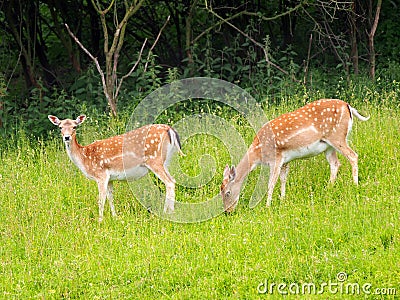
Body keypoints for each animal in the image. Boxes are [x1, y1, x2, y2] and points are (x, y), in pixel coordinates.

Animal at [48, 115, 184, 220]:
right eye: (60, 127)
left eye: (74, 126)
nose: (66, 137)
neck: (85, 157)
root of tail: (170, 129)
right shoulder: (110, 178)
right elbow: (110, 197)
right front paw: (115, 217)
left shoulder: (101, 174)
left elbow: (101, 198)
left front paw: (100, 220)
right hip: (165, 161)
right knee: (173, 179)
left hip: (154, 160)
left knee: (169, 182)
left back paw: (167, 212)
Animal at [220, 99, 370, 212]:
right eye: (220, 191)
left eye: (227, 192)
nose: (228, 212)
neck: (258, 153)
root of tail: (348, 106)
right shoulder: (285, 160)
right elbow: (283, 179)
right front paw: (282, 199)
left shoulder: (276, 159)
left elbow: (271, 183)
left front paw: (267, 206)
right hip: (328, 146)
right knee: (335, 163)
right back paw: (328, 188)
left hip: (337, 136)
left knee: (353, 156)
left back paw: (355, 185)